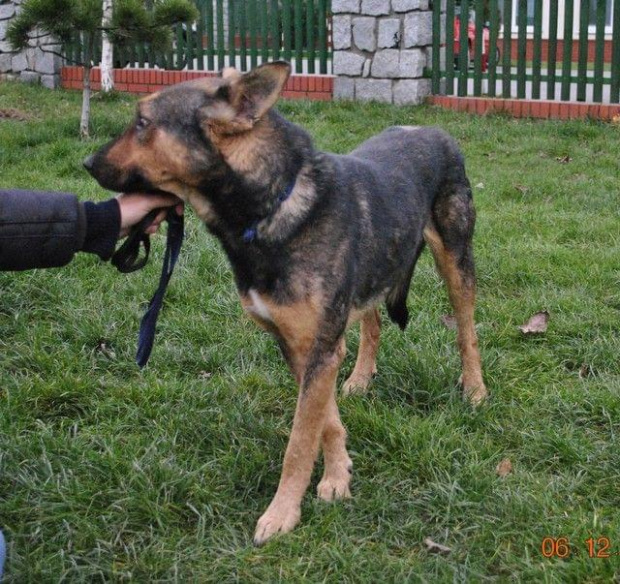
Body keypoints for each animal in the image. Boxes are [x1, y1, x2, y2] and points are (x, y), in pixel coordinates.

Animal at [83, 61, 490, 544]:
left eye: (143, 123)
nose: (87, 163)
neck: (270, 207)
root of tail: (433, 129)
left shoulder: (319, 348)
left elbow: (299, 441)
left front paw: (283, 512)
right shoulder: (299, 346)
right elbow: (324, 421)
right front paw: (338, 474)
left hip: (455, 262)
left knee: (466, 331)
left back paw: (475, 389)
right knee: (372, 322)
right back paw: (361, 378)